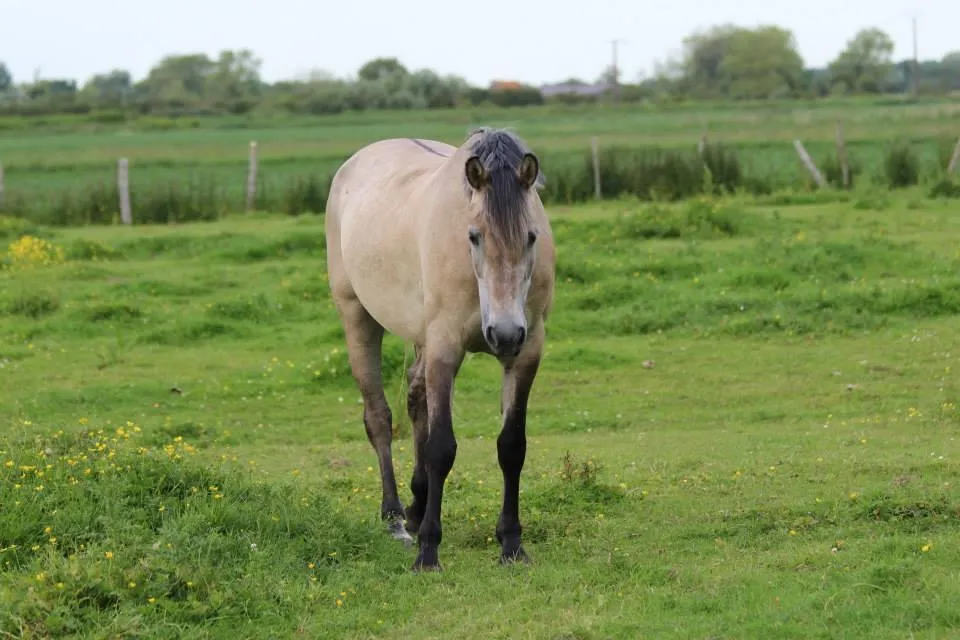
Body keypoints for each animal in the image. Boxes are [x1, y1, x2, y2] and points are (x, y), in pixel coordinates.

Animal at [326, 127, 560, 572]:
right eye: (474, 236)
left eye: (531, 236)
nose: (505, 334)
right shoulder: (445, 348)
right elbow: (441, 448)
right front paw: (428, 552)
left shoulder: (527, 352)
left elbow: (511, 446)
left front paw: (511, 544)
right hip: (357, 316)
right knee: (379, 418)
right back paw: (396, 518)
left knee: (417, 401)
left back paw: (416, 509)